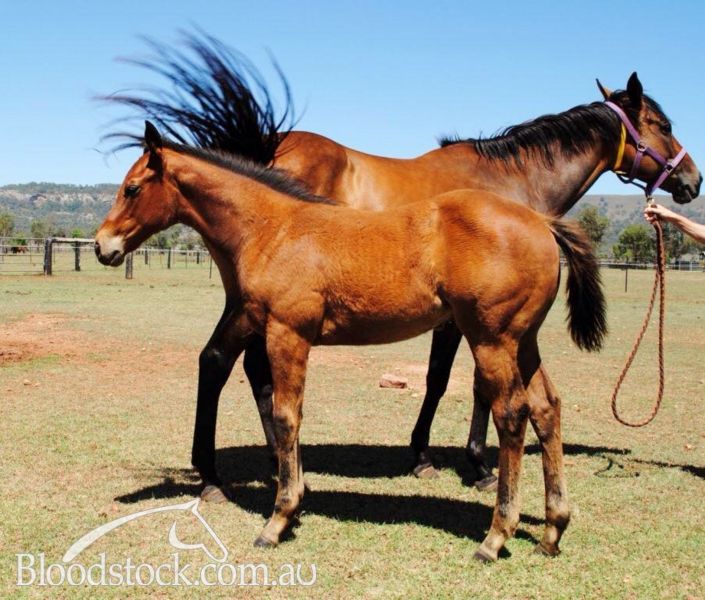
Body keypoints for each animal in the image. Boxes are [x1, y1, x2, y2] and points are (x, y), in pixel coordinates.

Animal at [95, 121, 606, 560]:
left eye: (132, 188)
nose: (103, 246)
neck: (274, 227)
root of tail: (541, 222)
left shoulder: (288, 333)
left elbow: (286, 416)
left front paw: (278, 520)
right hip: (524, 342)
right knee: (546, 408)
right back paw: (552, 530)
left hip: (492, 339)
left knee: (512, 415)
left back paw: (495, 536)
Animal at [106, 33, 702, 494]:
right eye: (661, 122)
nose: (692, 181)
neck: (509, 183)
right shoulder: (465, 320)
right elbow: (452, 383)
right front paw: (462, 462)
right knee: (238, 366)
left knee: (229, 364)